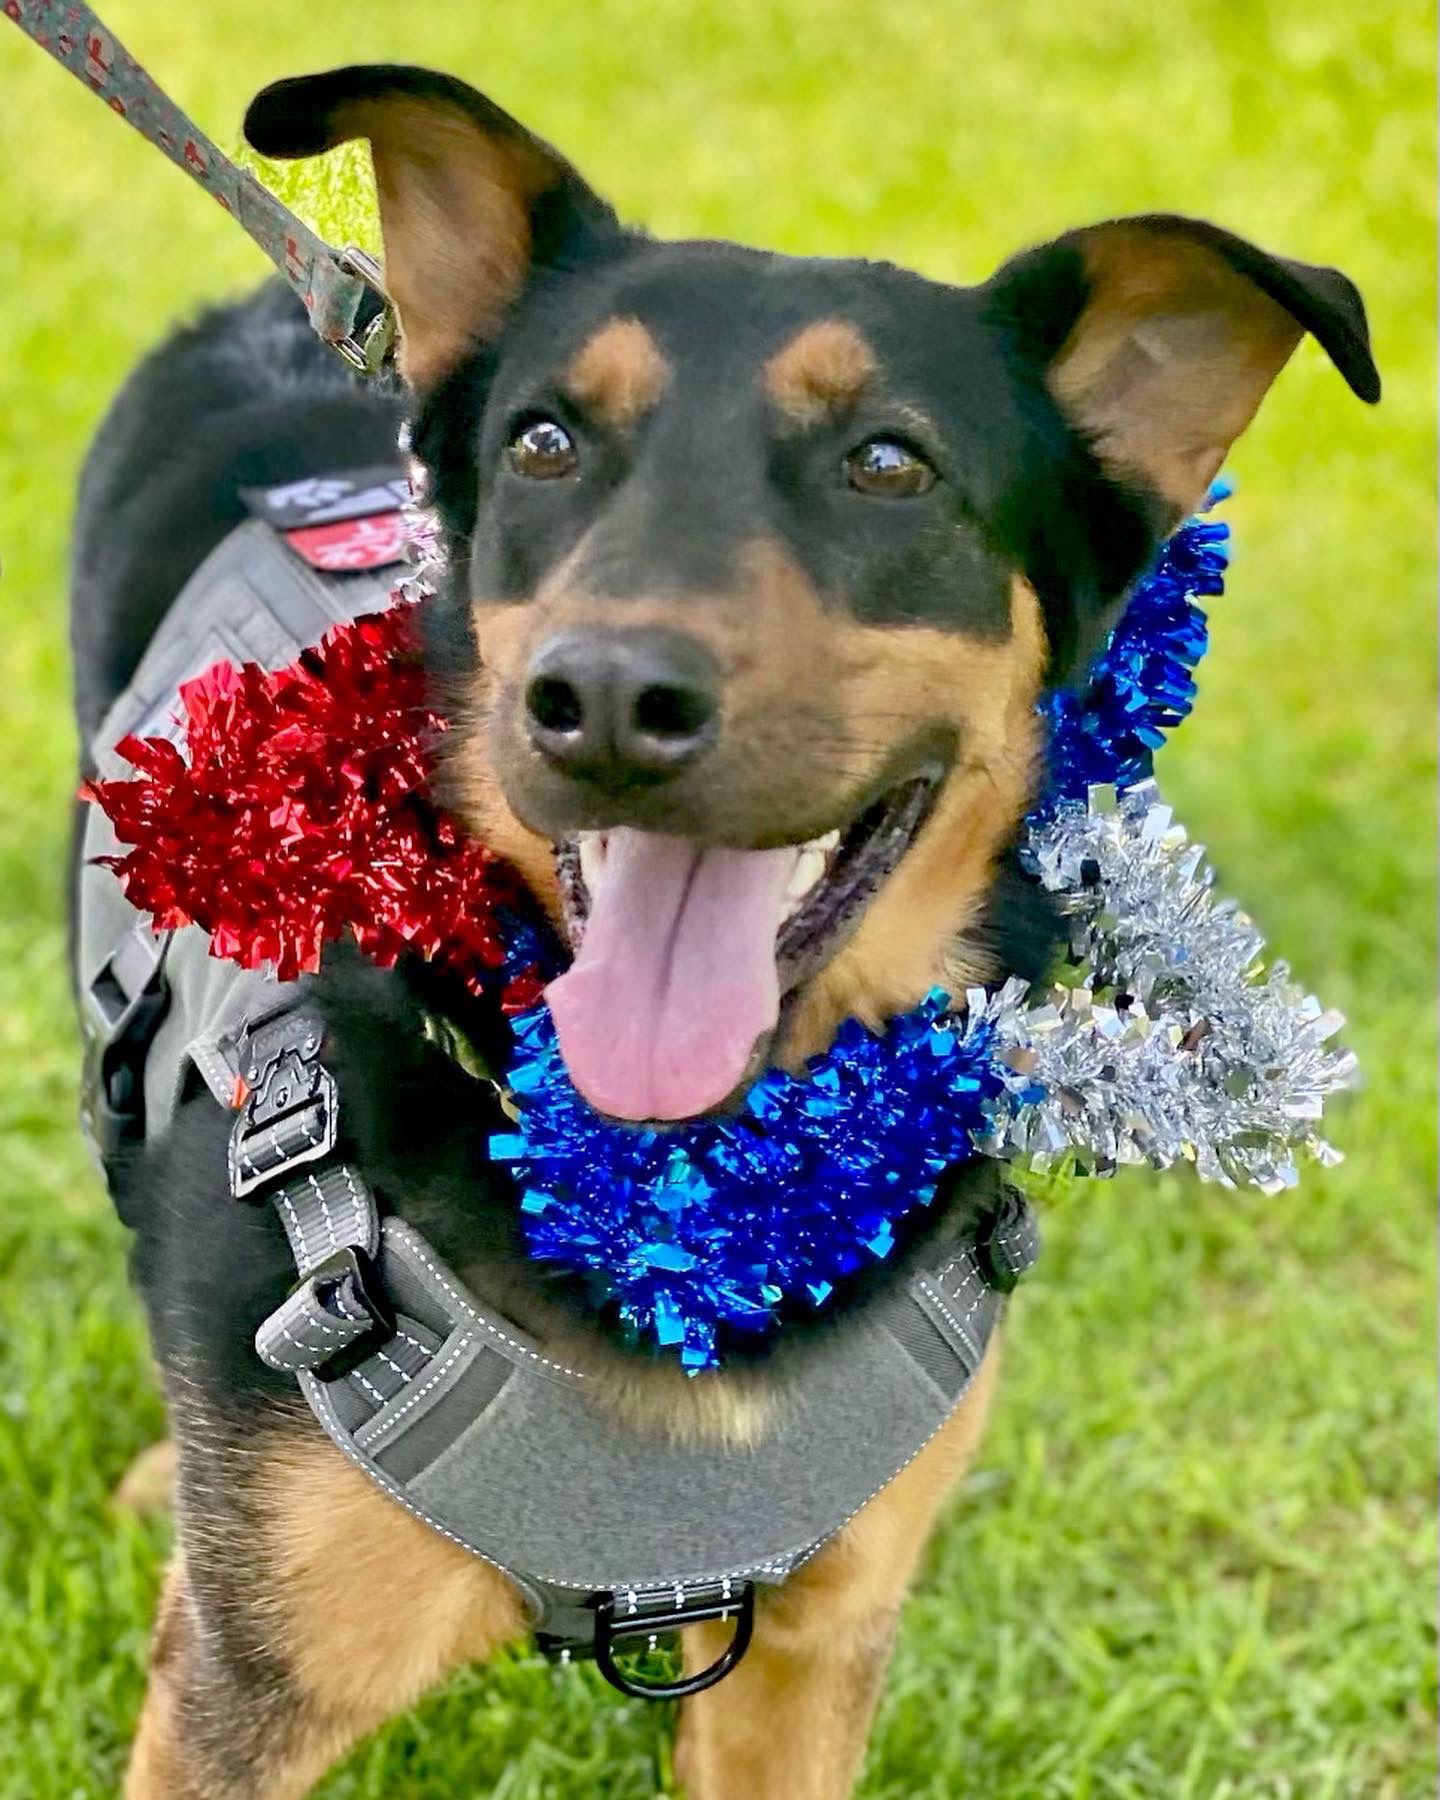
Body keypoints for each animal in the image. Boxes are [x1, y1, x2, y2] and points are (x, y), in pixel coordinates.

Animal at [70, 59, 1382, 1800]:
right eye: (545, 440)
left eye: (890, 464)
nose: (607, 697)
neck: (693, 1180)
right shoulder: (252, 1696)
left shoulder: (816, 1648)